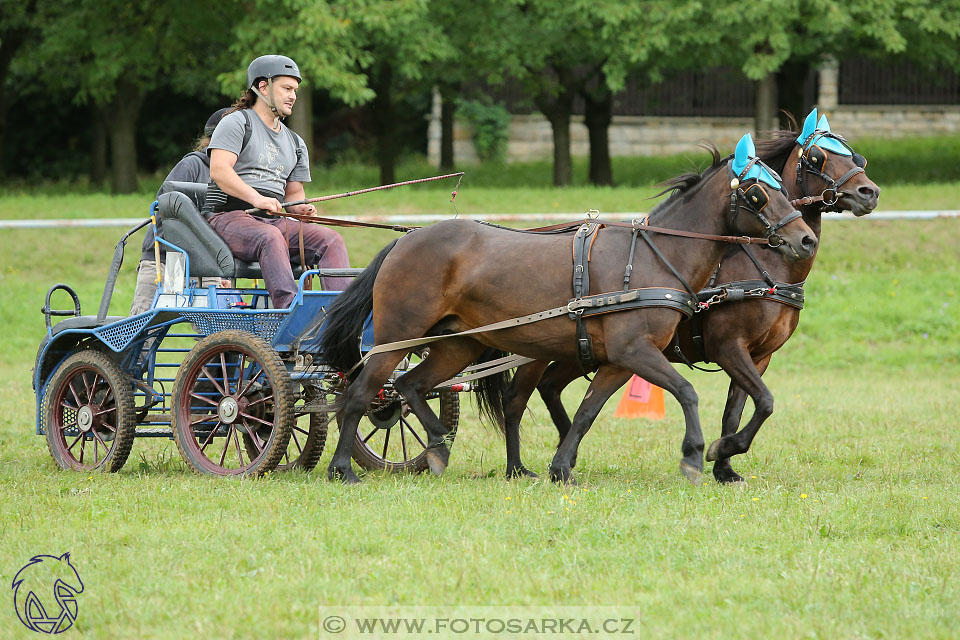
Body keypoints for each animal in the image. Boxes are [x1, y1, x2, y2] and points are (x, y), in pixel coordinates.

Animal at [320, 135, 816, 484]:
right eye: (756, 193)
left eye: (780, 186)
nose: (805, 239)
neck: (653, 257)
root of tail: (405, 240)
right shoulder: (641, 351)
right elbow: (689, 392)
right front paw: (697, 454)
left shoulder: (620, 360)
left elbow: (587, 411)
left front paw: (562, 467)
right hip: (396, 337)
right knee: (362, 394)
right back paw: (342, 469)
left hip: (458, 345)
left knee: (412, 385)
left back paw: (441, 447)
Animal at [498, 109, 880, 480]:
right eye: (817, 158)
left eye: (855, 156)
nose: (869, 192)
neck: (764, 266)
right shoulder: (728, 346)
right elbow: (765, 401)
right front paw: (719, 450)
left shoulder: (759, 356)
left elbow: (740, 410)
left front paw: (725, 466)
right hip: (535, 347)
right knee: (515, 400)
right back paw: (517, 467)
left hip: (583, 350)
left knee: (550, 387)